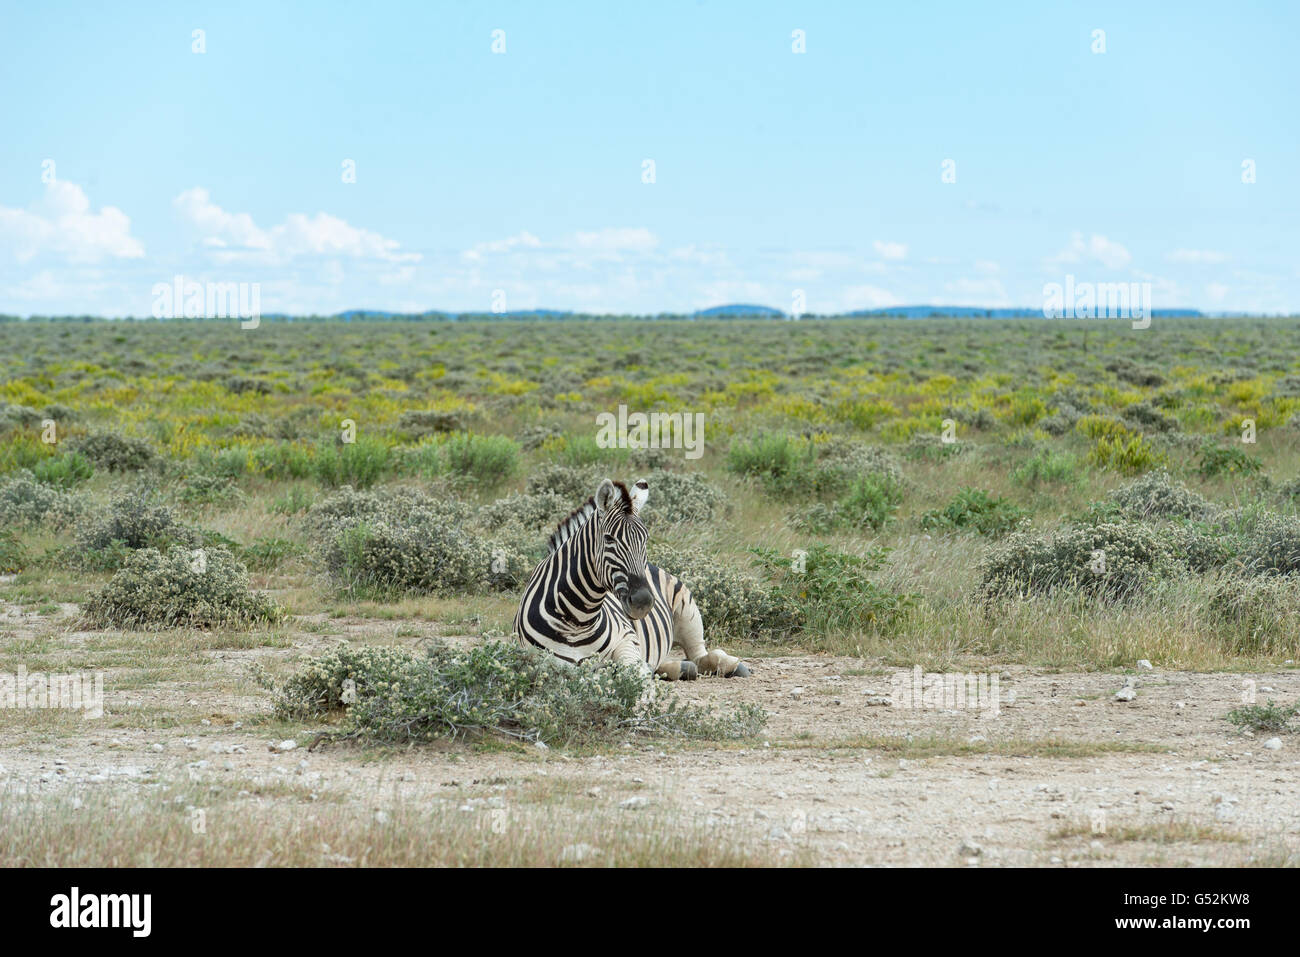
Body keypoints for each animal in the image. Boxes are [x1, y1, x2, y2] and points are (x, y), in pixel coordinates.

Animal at [512, 478, 748, 681]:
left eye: (645, 539)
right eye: (609, 539)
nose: (643, 601)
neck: (578, 619)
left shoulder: (627, 638)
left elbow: (633, 672)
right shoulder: (537, 661)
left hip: (689, 611)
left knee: (700, 655)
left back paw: (733, 665)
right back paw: (680, 668)